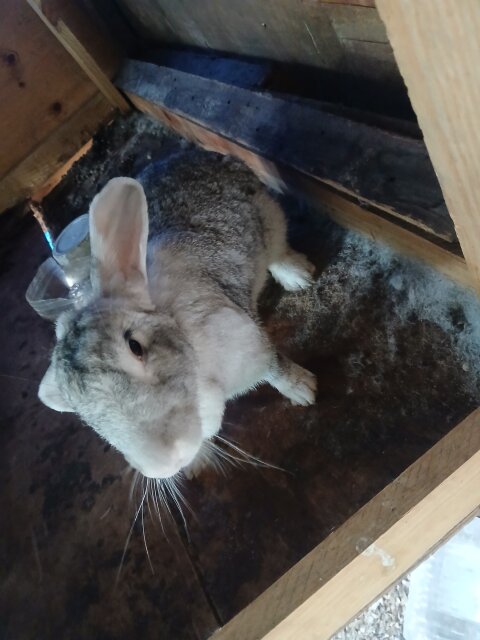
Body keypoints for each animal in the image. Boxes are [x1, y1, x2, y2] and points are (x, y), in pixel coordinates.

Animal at [38, 148, 317, 479]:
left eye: (135, 346)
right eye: (81, 413)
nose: (166, 462)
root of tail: (183, 154)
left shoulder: (251, 344)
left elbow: (276, 370)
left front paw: (305, 391)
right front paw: (198, 464)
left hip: (270, 219)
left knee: (278, 252)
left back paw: (298, 276)